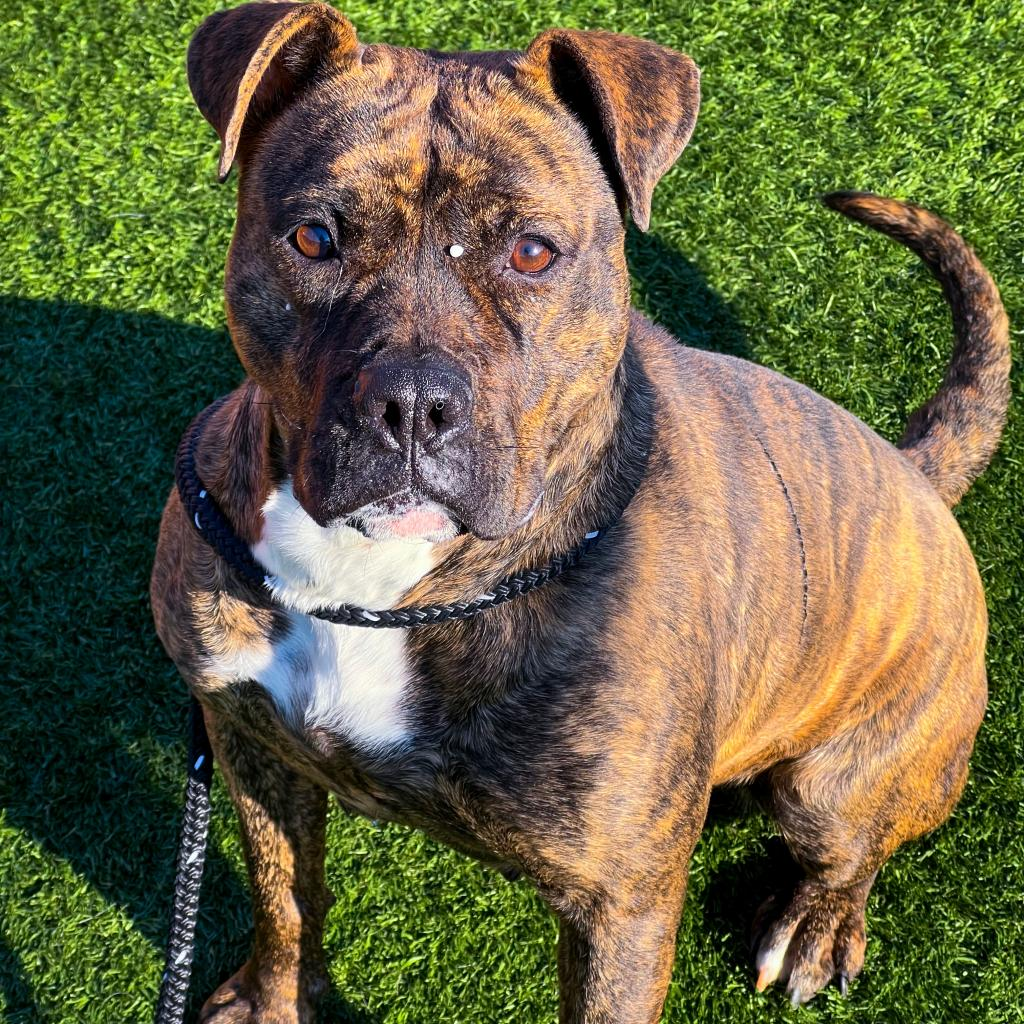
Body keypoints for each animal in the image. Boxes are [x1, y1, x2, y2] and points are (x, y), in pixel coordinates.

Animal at [151, 3, 1011, 1020]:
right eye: (314, 238)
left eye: (533, 252)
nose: (411, 403)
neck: (382, 586)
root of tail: (915, 473)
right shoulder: (250, 743)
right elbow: (285, 895)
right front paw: (274, 1000)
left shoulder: (621, 907)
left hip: (835, 783)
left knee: (849, 848)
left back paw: (816, 924)